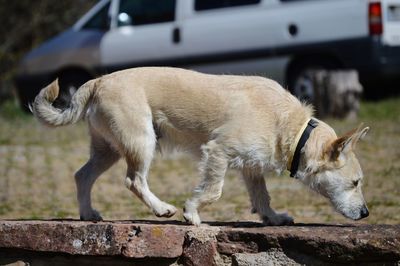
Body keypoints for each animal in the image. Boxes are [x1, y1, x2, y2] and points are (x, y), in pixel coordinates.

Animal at [30, 67, 368, 225]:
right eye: (355, 182)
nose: (366, 213)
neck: (295, 128)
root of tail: (98, 80)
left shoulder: (251, 167)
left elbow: (262, 196)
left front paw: (272, 218)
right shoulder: (218, 153)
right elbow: (213, 191)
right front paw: (191, 213)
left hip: (108, 150)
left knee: (82, 176)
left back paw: (87, 213)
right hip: (141, 142)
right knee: (134, 180)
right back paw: (162, 208)